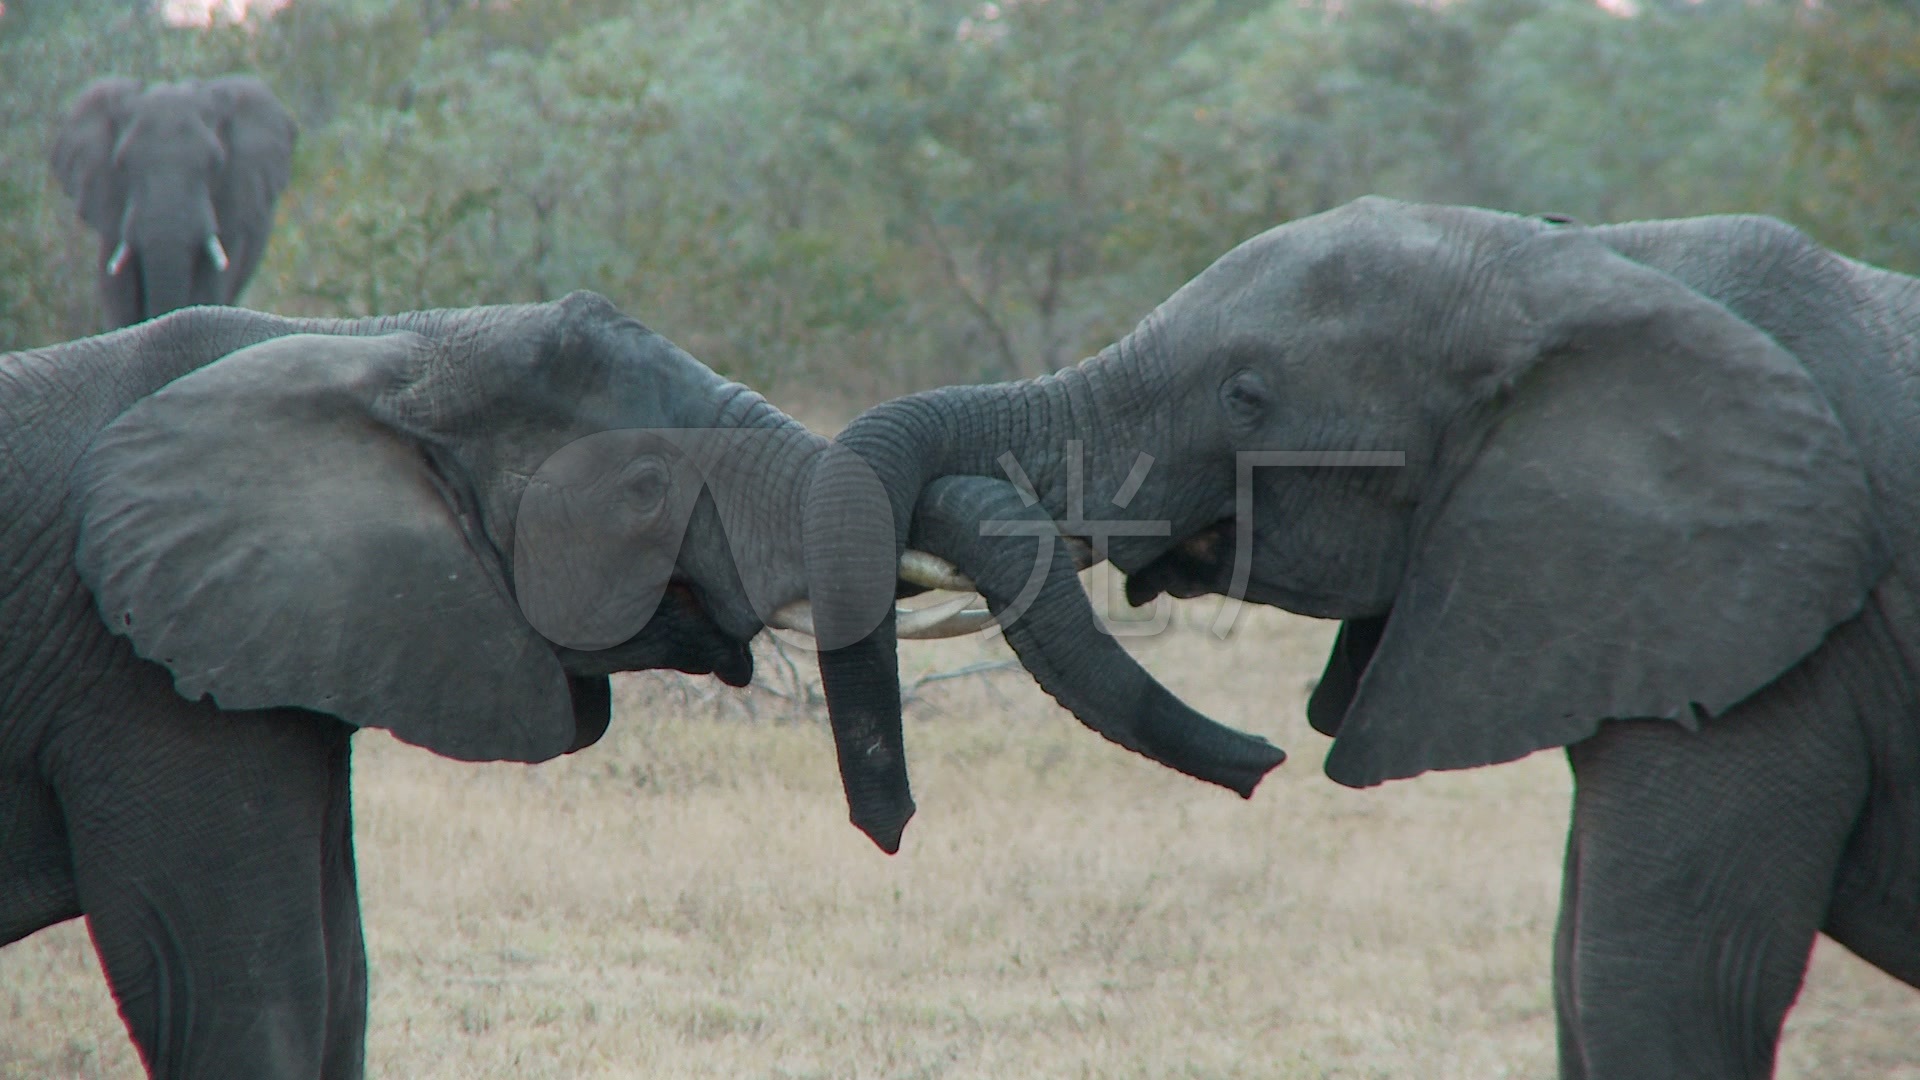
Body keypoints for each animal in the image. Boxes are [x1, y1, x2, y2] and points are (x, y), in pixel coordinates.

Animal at [817, 195, 1920, 1076]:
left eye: (1245, 397)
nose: (1261, 763)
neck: (1584, 263)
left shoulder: (1775, 636)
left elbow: (1661, 990)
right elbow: (1582, 983)